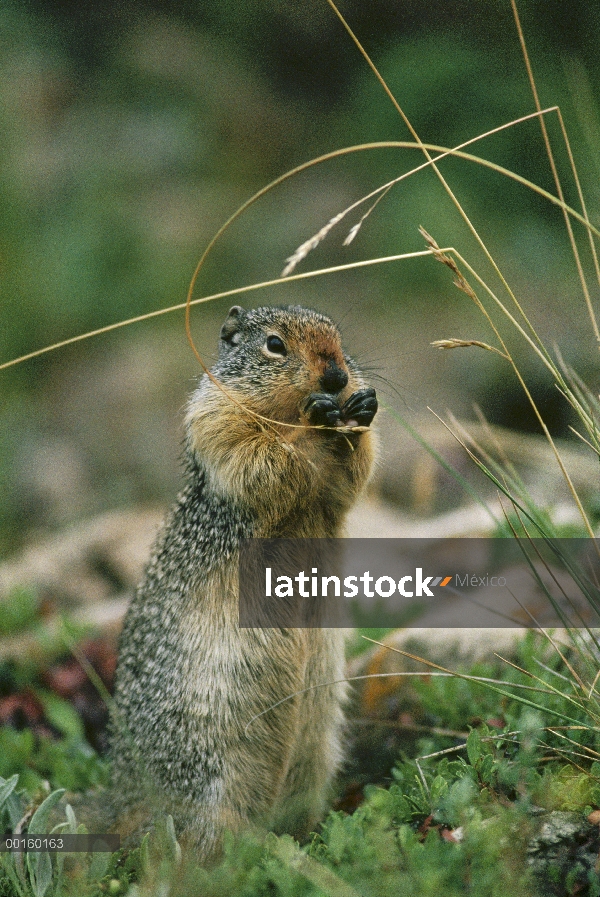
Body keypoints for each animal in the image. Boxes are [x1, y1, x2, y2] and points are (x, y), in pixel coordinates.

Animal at [109, 304, 376, 856]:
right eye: (274, 345)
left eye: (339, 338)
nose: (337, 377)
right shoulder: (216, 420)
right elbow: (258, 456)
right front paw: (317, 417)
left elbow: (352, 476)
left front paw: (362, 409)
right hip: (208, 774)